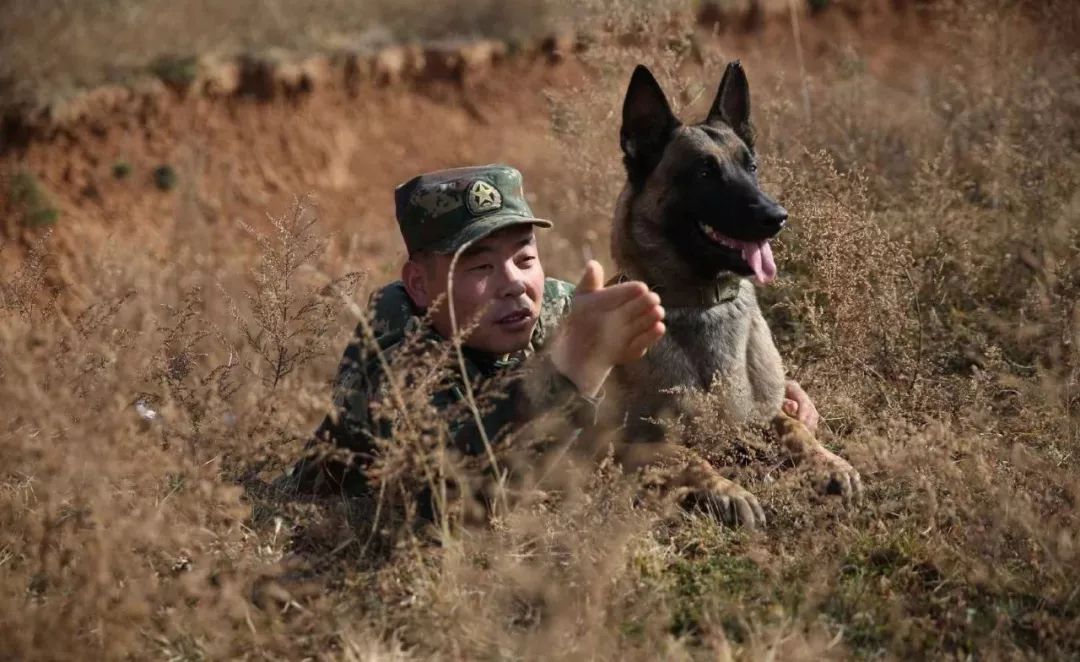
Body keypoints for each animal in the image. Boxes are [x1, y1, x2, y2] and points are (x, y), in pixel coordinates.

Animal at [604, 62, 864, 527]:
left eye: (752, 166)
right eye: (705, 173)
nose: (777, 217)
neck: (703, 303)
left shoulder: (769, 413)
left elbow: (794, 427)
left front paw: (827, 461)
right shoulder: (627, 444)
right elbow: (689, 456)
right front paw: (729, 491)